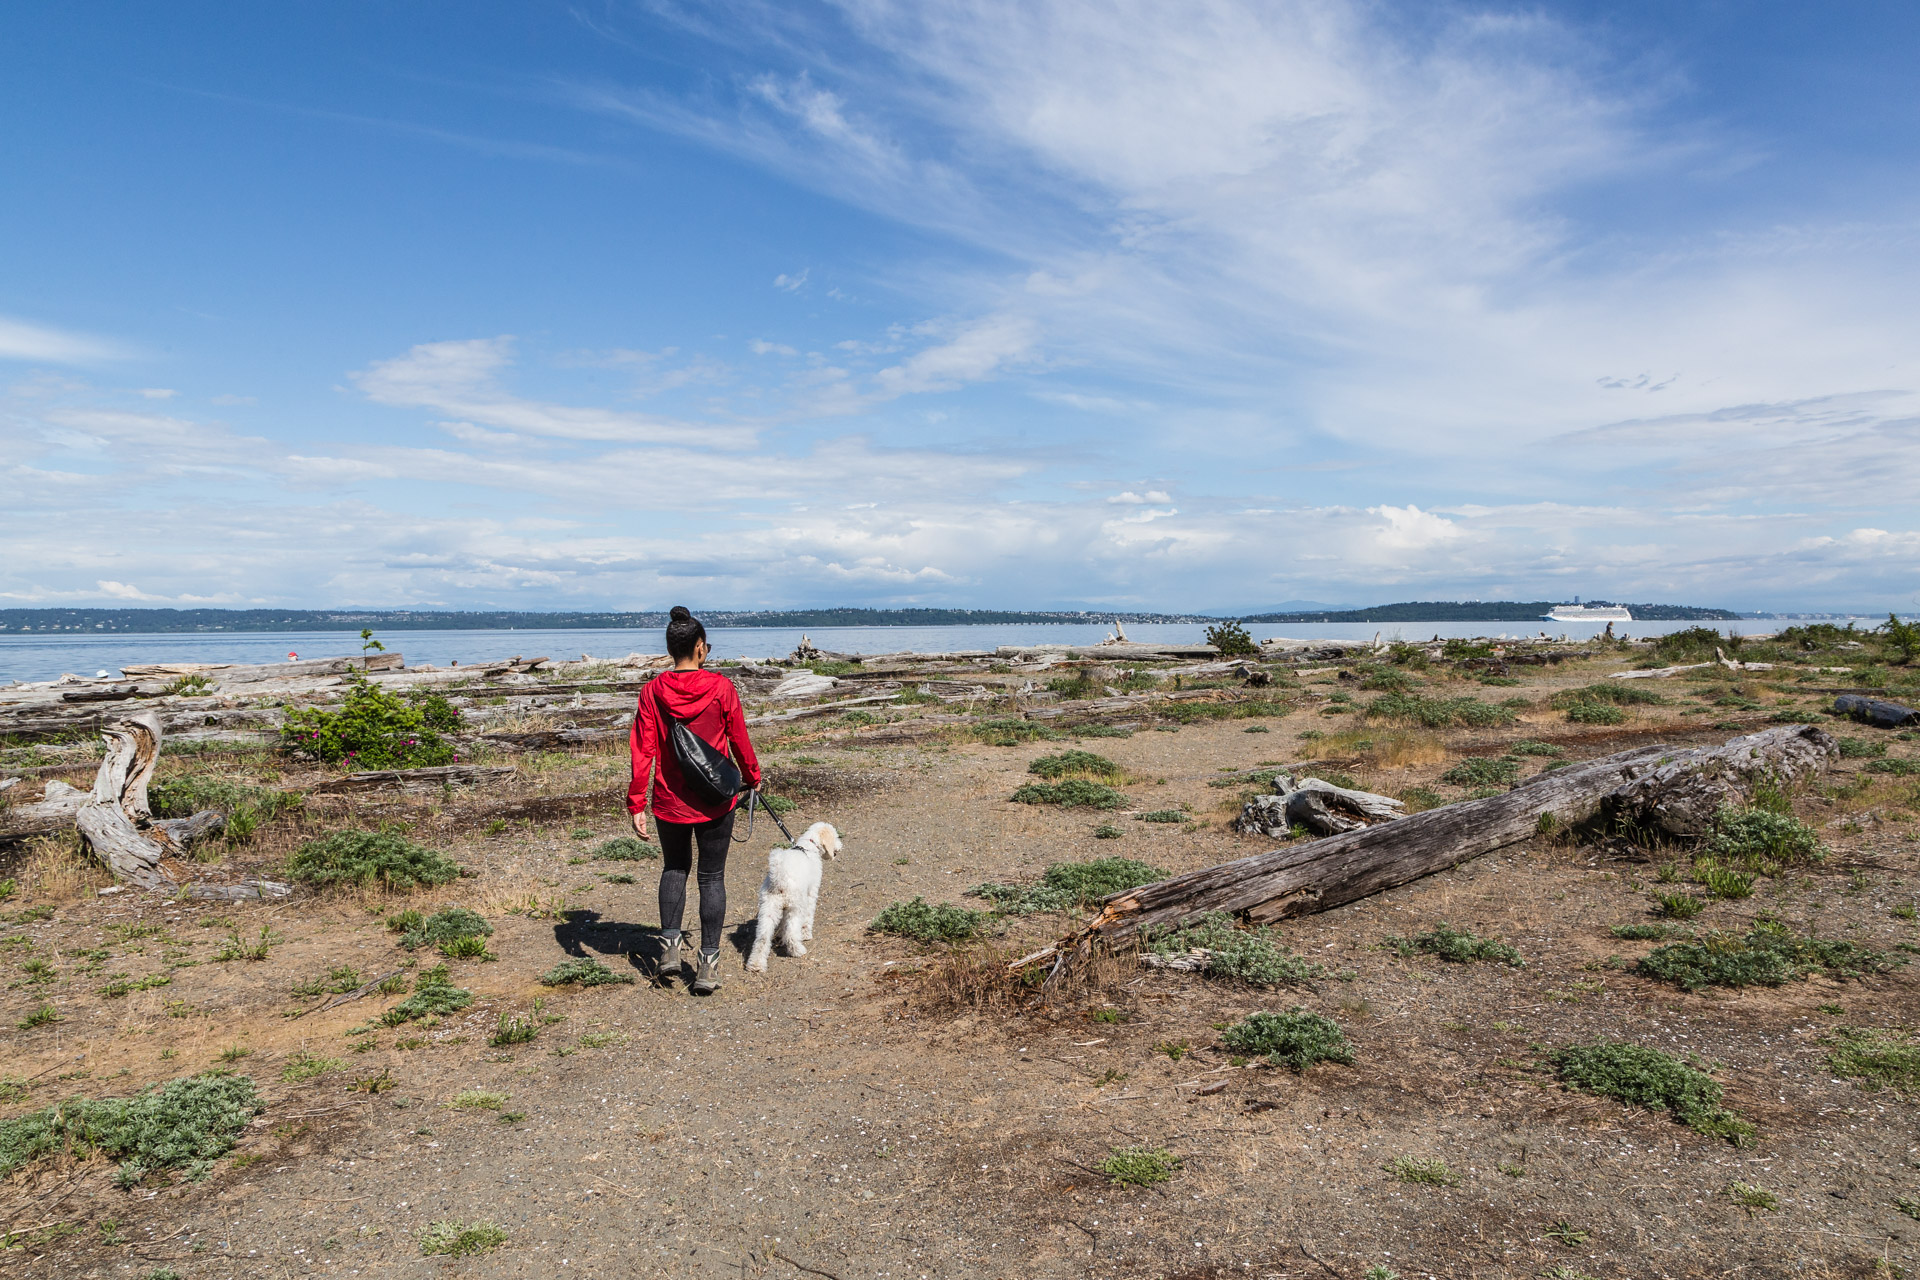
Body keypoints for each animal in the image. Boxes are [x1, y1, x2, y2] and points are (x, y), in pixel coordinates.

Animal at [748, 821, 840, 971]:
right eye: (836, 836)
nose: (840, 845)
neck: (809, 846)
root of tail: (780, 877)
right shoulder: (811, 894)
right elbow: (807, 919)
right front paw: (806, 935)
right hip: (795, 908)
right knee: (791, 934)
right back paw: (798, 951)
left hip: (768, 910)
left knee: (762, 939)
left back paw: (756, 965)